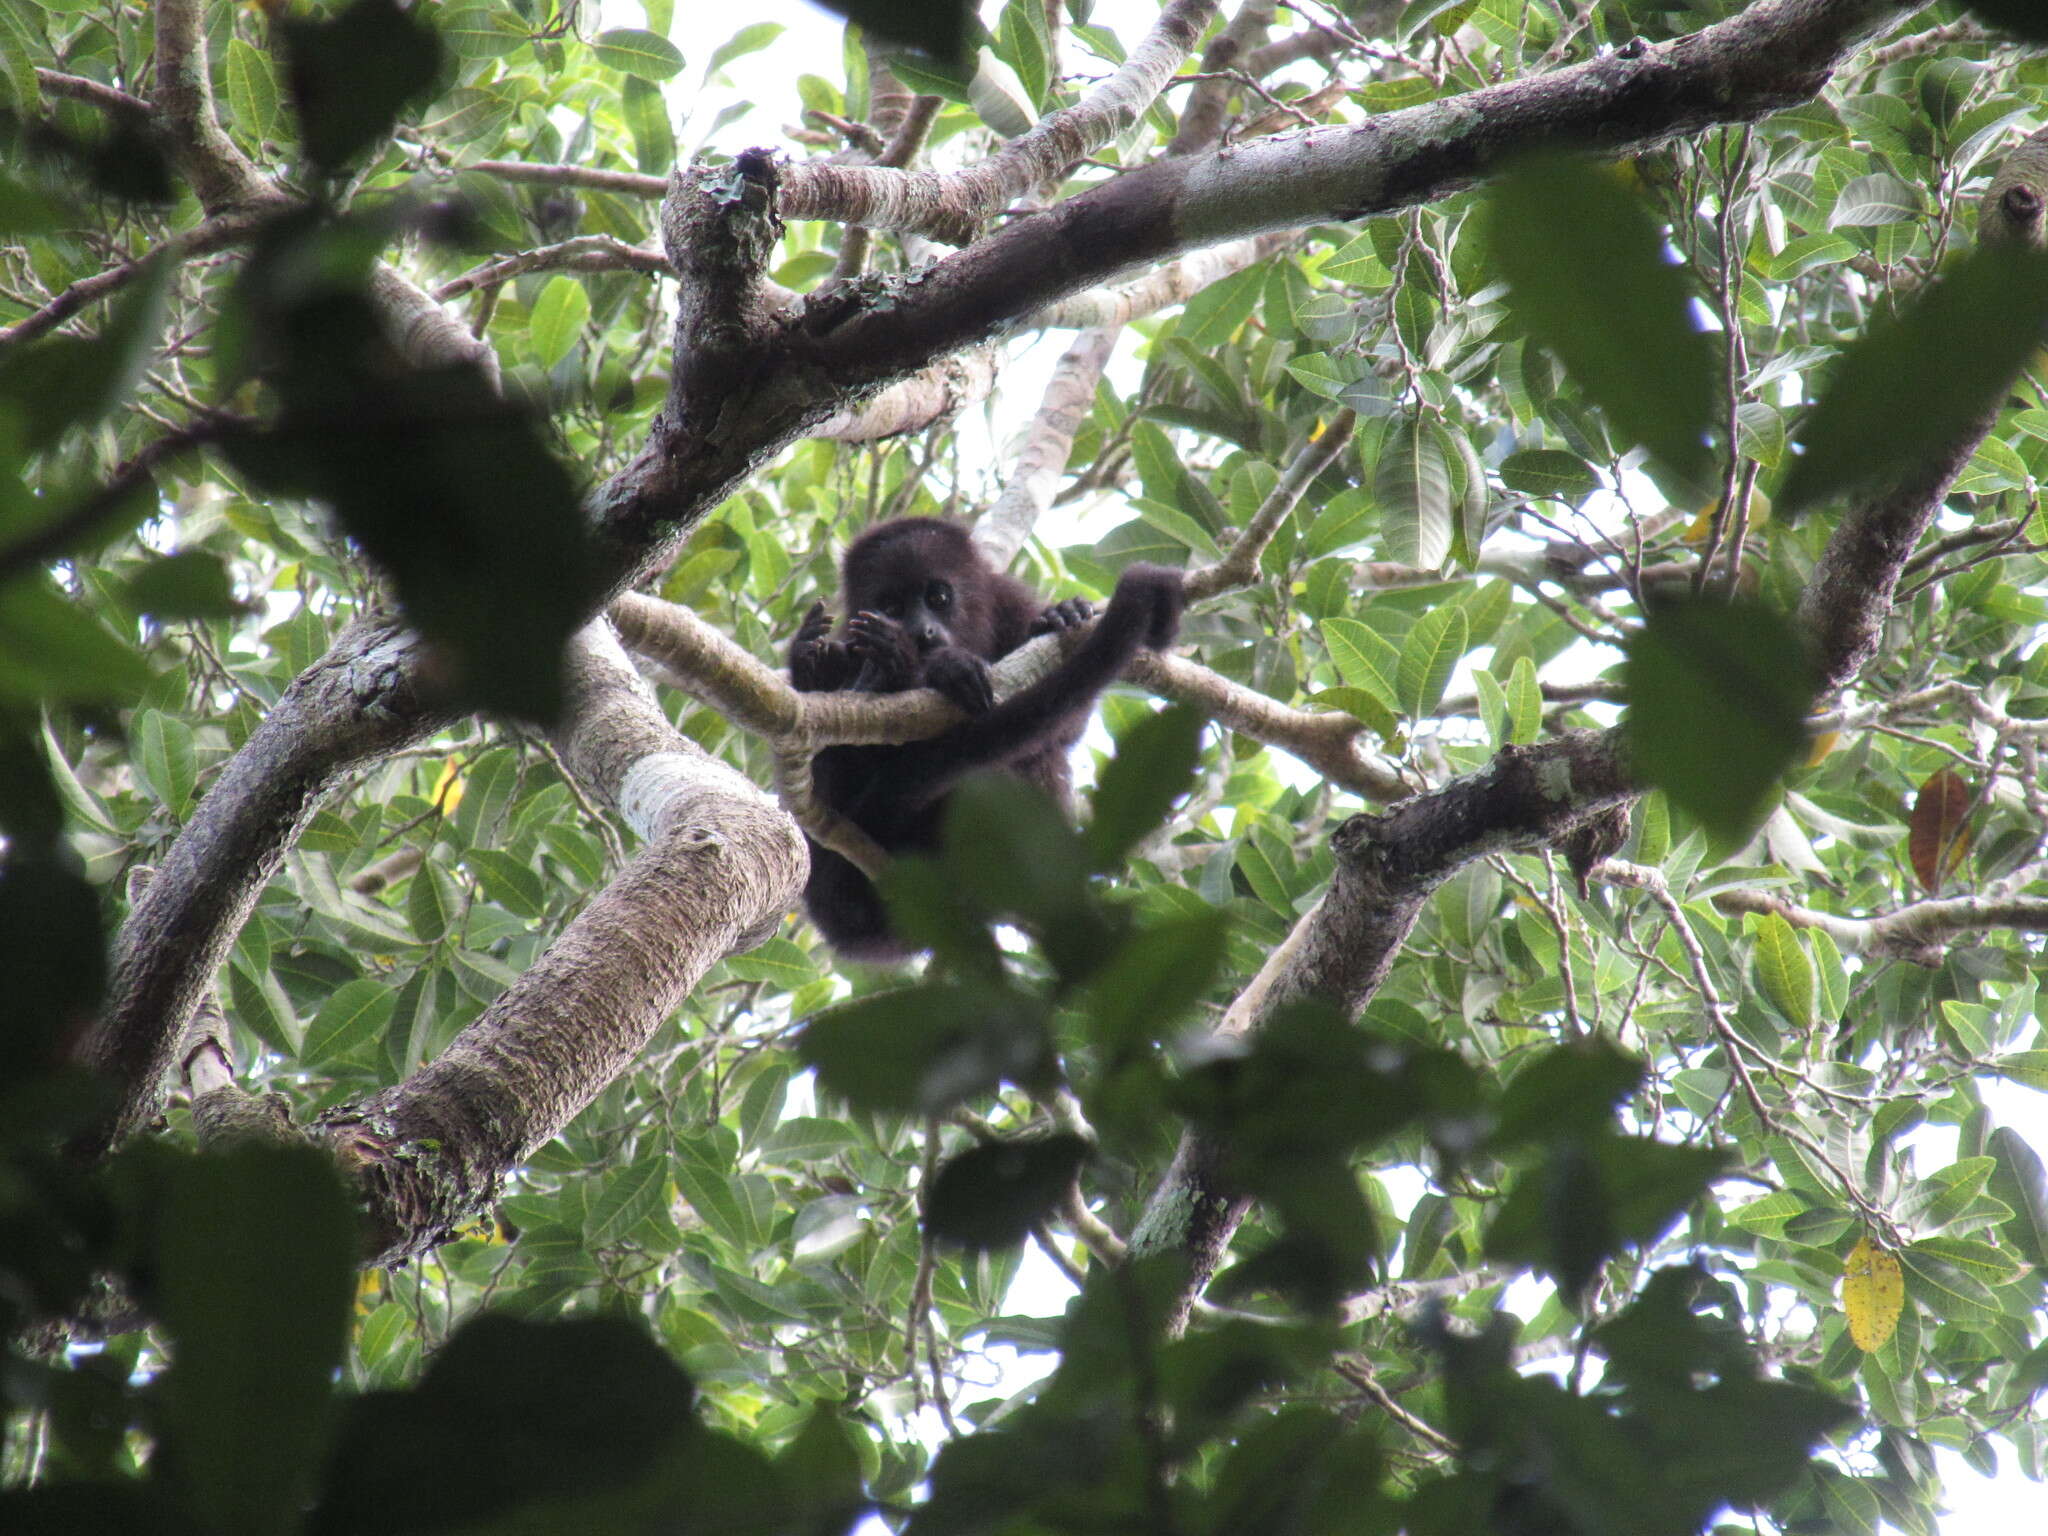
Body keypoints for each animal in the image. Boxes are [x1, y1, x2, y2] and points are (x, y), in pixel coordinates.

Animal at [794, 518, 1187, 962]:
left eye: (938, 597)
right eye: (892, 607)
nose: (922, 632)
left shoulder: (1011, 602)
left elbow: (1066, 729)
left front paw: (1060, 615)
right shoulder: (854, 633)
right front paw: (936, 668)